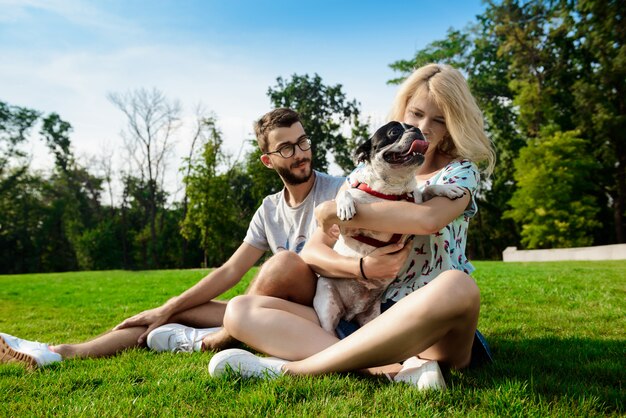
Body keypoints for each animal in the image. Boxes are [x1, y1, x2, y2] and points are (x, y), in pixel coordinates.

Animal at [312, 120, 464, 334]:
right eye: (393, 132)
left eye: (413, 127)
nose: (416, 130)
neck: (394, 192)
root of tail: (350, 312)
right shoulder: (348, 230)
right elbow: (347, 192)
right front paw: (345, 204)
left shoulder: (417, 202)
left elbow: (428, 188)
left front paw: (448, 188)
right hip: (327, 306)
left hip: (372, 317)